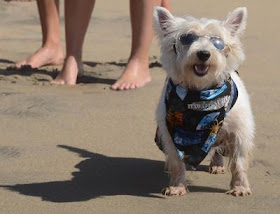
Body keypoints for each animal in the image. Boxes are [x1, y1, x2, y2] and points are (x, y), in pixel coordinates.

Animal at [154, 6, 255, 196]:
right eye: (187, 38)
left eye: (217, 42)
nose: (203, 54)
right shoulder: (171, 134)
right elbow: (177, 162)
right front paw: (177, 186)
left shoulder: (239, 131)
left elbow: (238, 162)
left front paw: (240, 187)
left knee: (217, 149)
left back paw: (217, 164)